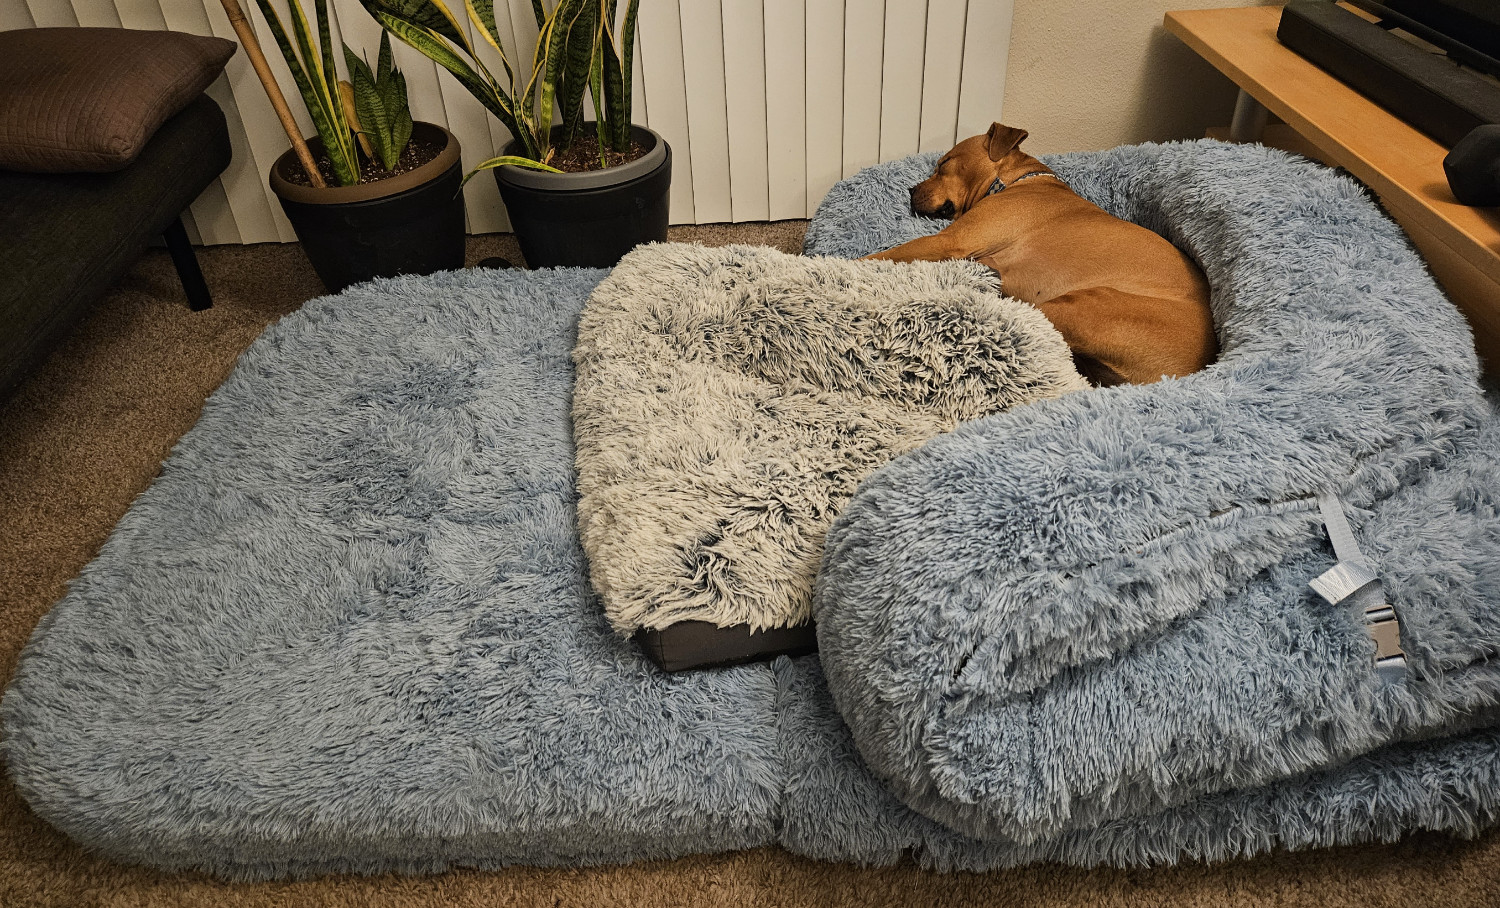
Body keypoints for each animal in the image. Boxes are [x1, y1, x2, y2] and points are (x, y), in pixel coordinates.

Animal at [870, 120, 1218, 382]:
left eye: (943, 164)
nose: (910, 191)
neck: (1015, 181)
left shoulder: (948, 242)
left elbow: (880, 256)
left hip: (1084, 306)